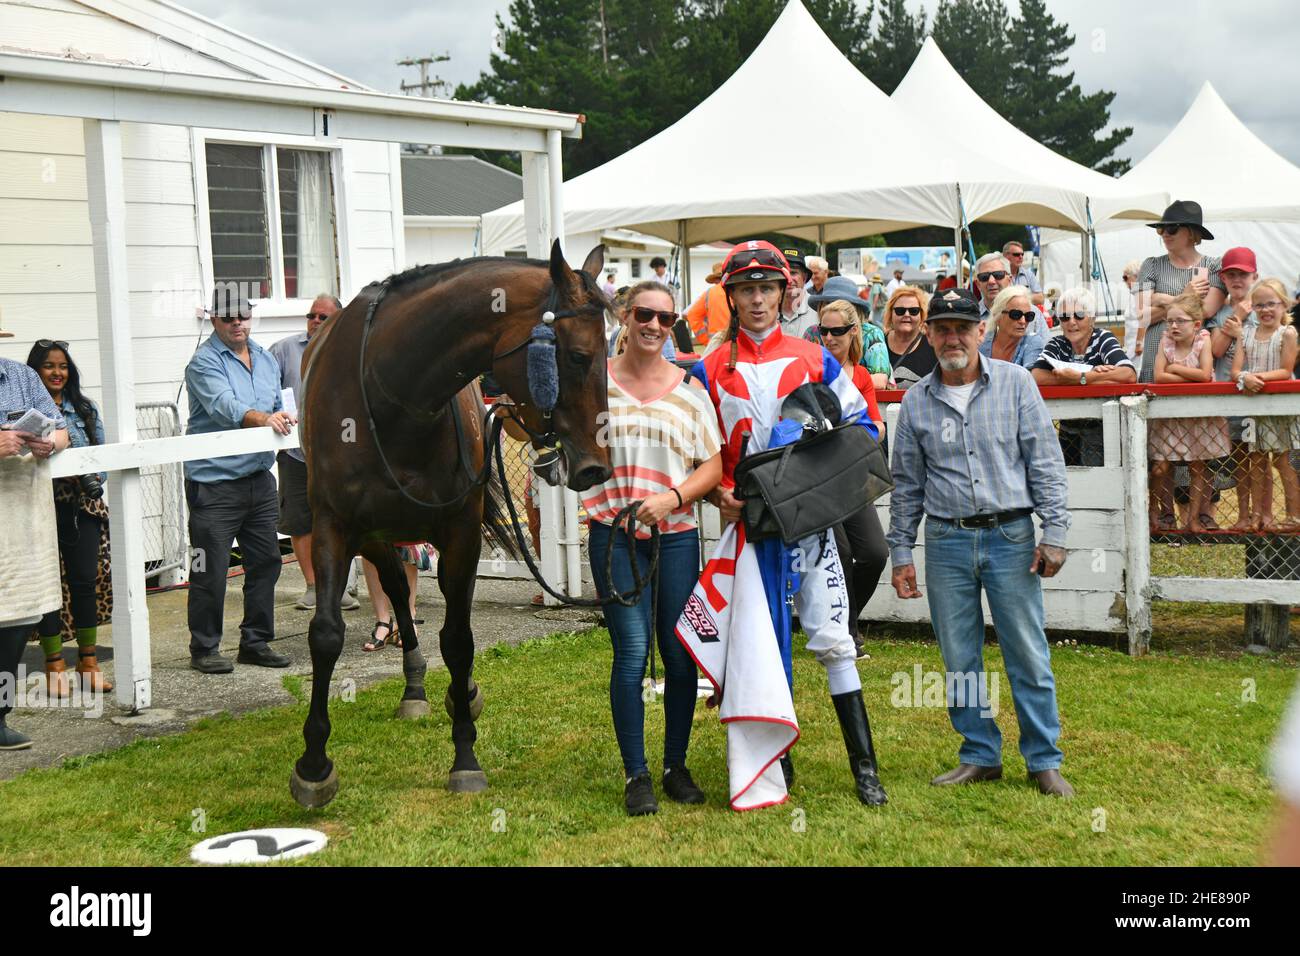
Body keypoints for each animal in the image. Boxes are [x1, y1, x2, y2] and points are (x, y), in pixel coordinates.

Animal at [293, 240, 613, 806]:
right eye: (577, 356)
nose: (596, 466)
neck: (392, 396)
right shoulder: (335, 527)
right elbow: (326, 635)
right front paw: (313, 764)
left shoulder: (460, 535)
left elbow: (459, 641)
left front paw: (465, 754)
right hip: (376, 534)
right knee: (398, 589)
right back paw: (414, 684)